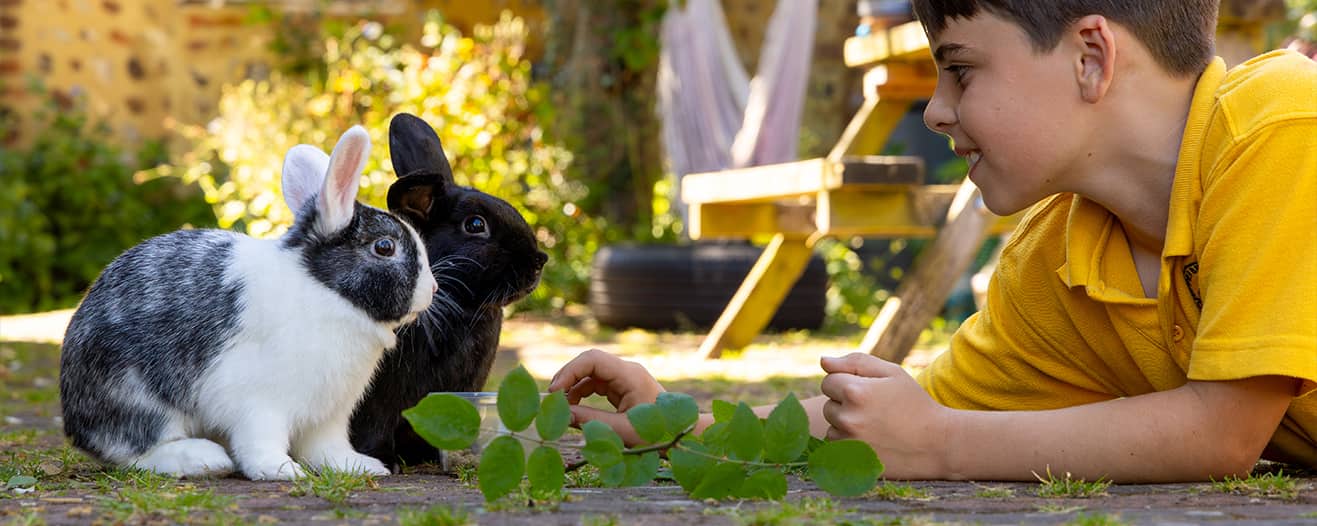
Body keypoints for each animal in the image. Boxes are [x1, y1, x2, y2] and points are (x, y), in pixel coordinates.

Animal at [58, 125, 439, 481]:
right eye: (385, 247)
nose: (433, 289)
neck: (324, 291)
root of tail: (76, 420)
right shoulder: (258, 404)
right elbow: (260, 441)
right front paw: (281, 471)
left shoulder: (328, 415)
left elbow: (326, 448)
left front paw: (361, 467)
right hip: (139, 397)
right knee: (135, 451)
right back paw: (203, 459)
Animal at [349, 113, 548, 470]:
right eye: (475, 225)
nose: (539, 261)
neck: (462, 307)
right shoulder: (377, 397)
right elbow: (374, 425)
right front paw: (386, 461)